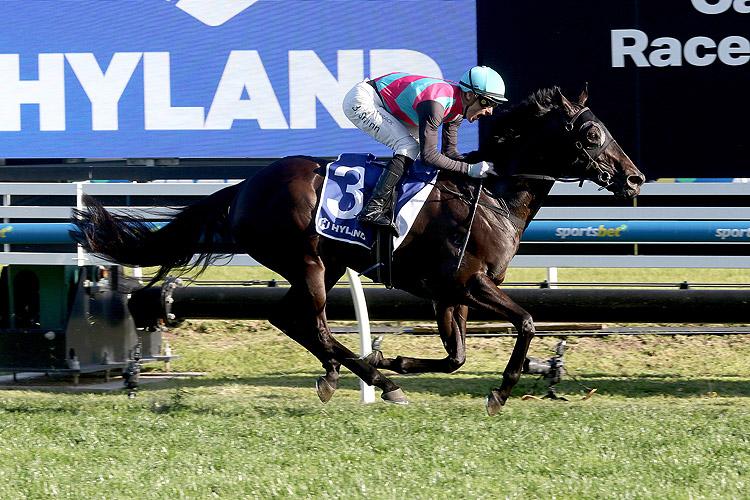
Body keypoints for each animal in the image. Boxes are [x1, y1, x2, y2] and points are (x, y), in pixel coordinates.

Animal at [72, 86, 648, 414]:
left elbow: (456, 357)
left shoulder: (449, 295)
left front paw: (395, 357)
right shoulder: (466, 283)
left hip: (324, 265)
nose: (635, 178)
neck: (494, 194)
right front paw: (500, 391)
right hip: (307, 260)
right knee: (312, 322)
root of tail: (244, 186)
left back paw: (363, 374)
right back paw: (366, 378)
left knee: (291, 318)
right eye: (592, 134)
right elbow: (526, 323)